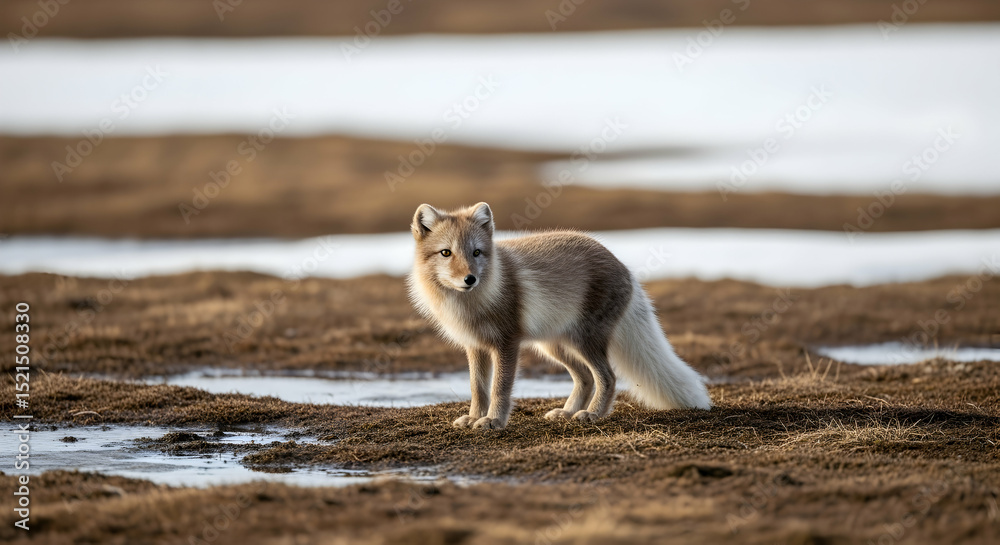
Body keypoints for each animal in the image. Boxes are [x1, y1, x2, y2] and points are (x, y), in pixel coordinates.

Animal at [407, 202, 712, 430]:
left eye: (476, 252)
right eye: (446, 253)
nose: (470, 279)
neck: (469, 304)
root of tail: (624, 266)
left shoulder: (507, 344)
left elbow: (499, 388)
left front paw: (494, 421)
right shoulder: (475, 347)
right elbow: (477, 388)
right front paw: (473, 417)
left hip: (584, 341)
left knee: (608, 378)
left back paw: (592, 415)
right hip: (555, 346)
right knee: (585, 378)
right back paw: (567, 413)